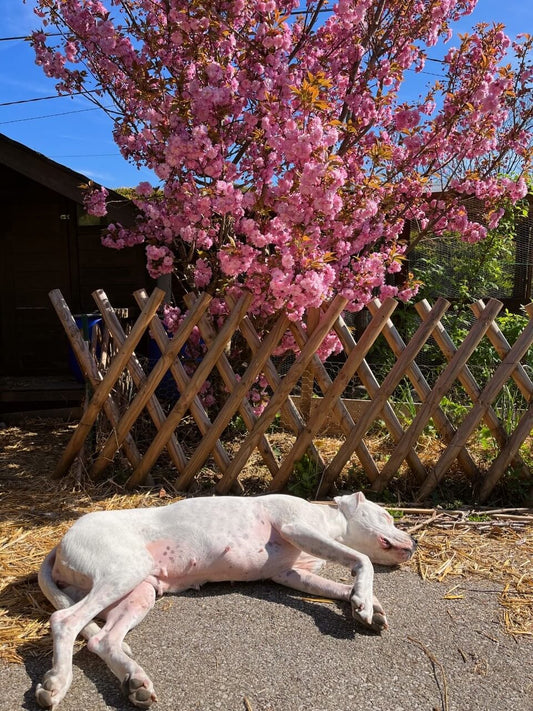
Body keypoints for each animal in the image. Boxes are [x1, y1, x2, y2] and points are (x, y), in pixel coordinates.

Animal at [36, 492, 416, 708]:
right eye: (386, 516)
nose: (413, 543)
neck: (328, 519)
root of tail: (60, 541)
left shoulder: (290, 575)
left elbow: (341, 586)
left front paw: (366, 605)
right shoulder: (296, 528)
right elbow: (361, 559)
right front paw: (364, 600)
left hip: (140, 591)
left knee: (102, 639)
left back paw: (135, 682)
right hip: (123, 571)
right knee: (66, 622)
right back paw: (56, 685)